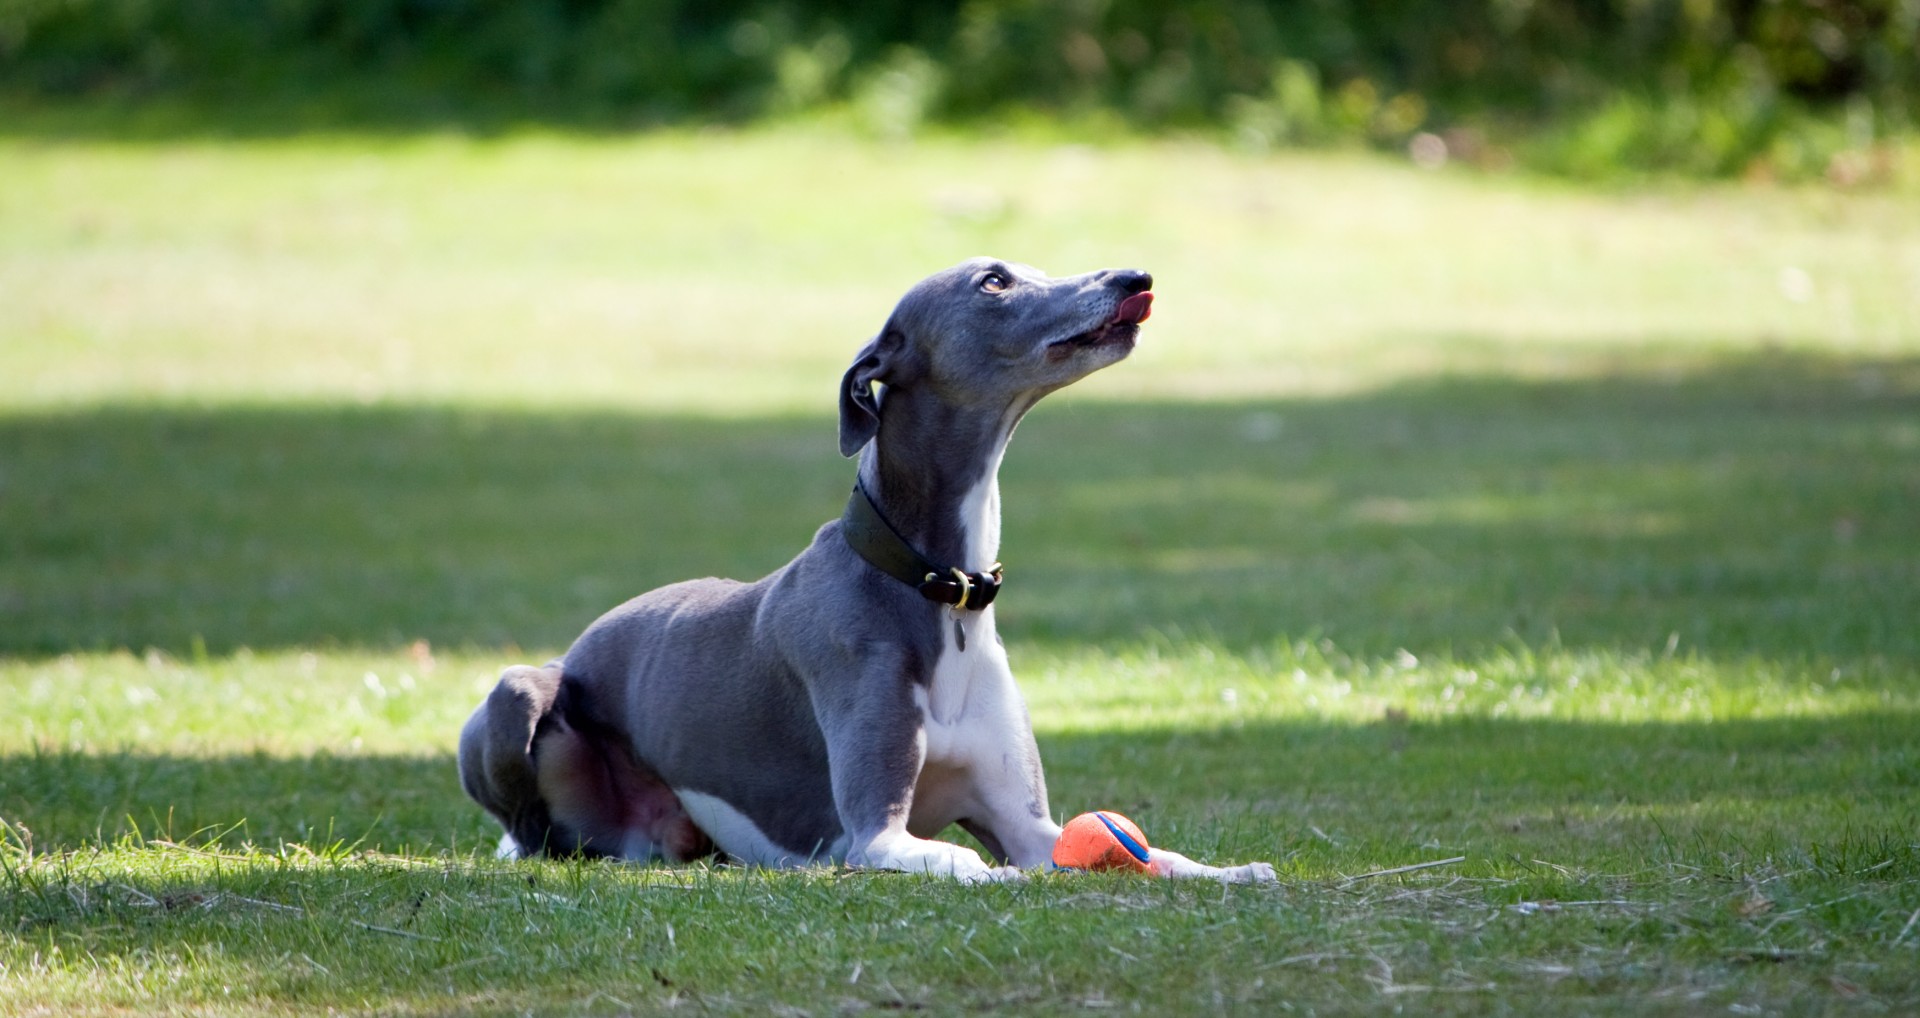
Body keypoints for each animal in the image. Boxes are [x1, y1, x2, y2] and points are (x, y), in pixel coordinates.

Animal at [455, 255, 1274, 879]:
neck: (935, 589)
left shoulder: (1030, 826)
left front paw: (1235, 869)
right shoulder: (875, 834)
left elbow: (1145, 852)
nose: (1135, 276)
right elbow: (963, 860)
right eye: (994, 281)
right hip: (518, 694)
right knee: (532, 828)